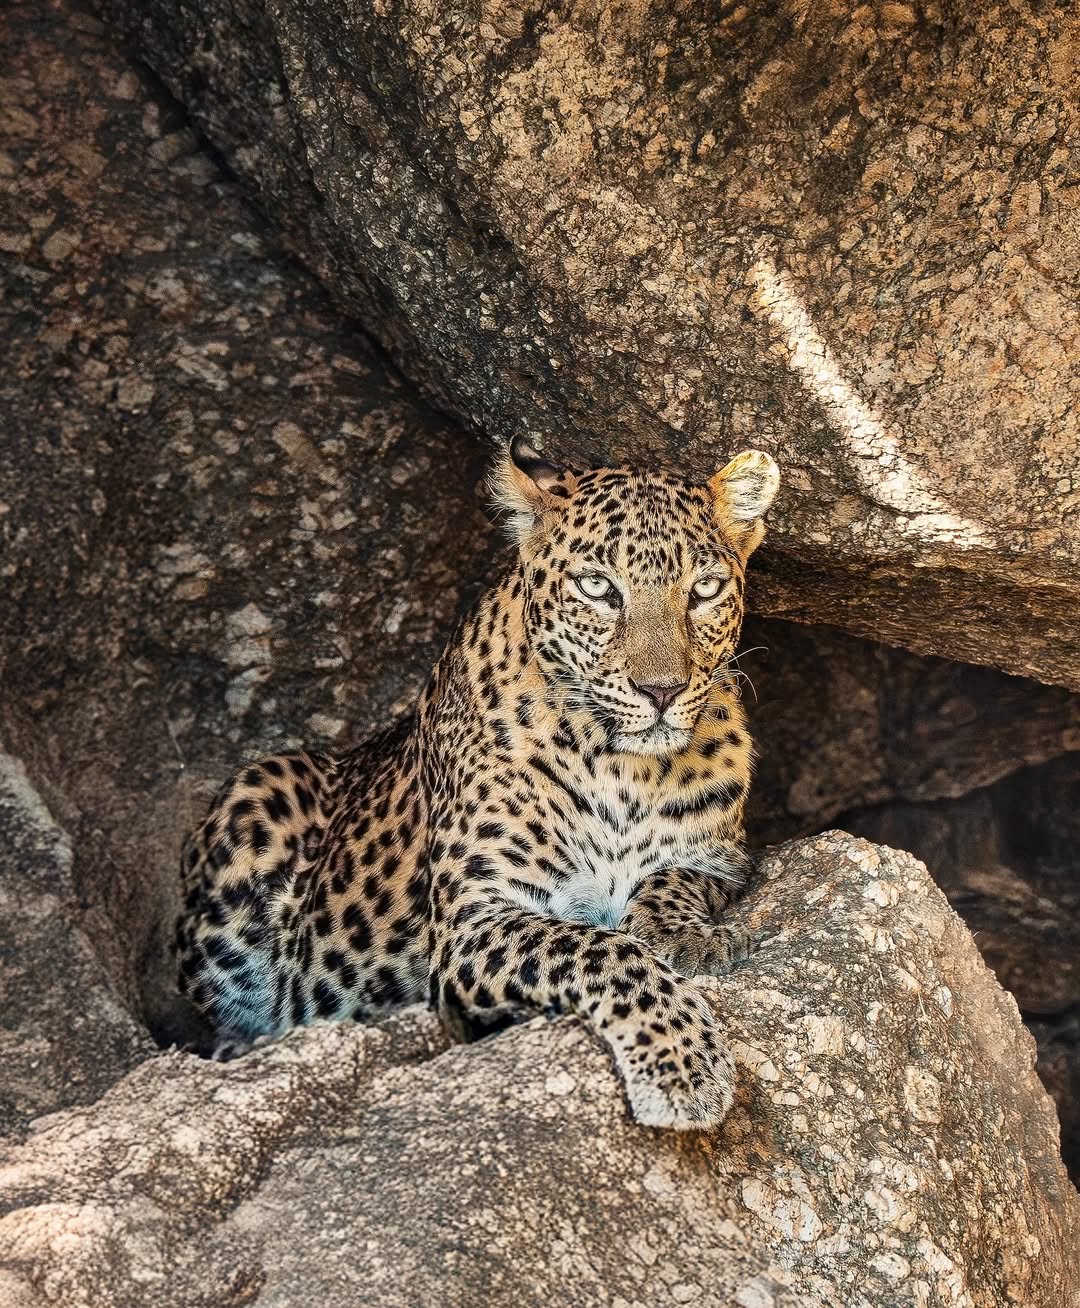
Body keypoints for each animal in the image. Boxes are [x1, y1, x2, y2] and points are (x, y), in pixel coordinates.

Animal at [174, 438, 780, 1129]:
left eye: (704, 590)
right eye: (598, 588)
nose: (662, 691)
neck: (622, 767)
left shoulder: (720, 856)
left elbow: (670, 881)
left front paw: (679, 934)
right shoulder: (476, 918)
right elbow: (600, 952)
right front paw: (683, 1066)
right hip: (257, 791)